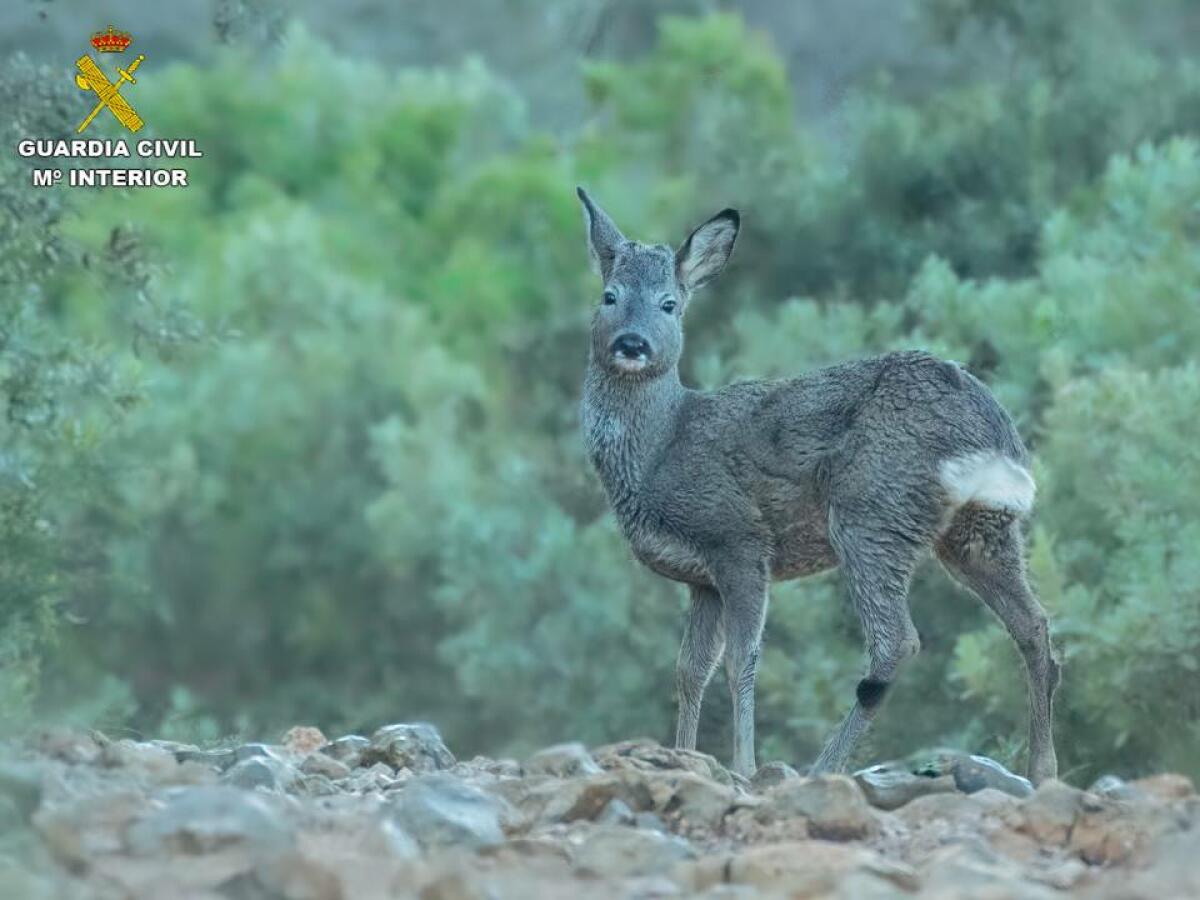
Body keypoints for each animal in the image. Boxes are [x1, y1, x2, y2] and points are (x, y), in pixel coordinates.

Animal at [578, 187, 1060, 787]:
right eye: (609, 295)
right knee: (1034, 625)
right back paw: (1043, 769)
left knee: (898, 642)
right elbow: (690, 670)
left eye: (669, 303)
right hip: (980, 529)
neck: (660, 449)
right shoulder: (700, 578)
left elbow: (741, 661)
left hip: (871, 509)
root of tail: (992, 437)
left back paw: (822, 768)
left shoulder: (738, 538)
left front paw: (743, 767)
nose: (632, 343)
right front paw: (684, 756)